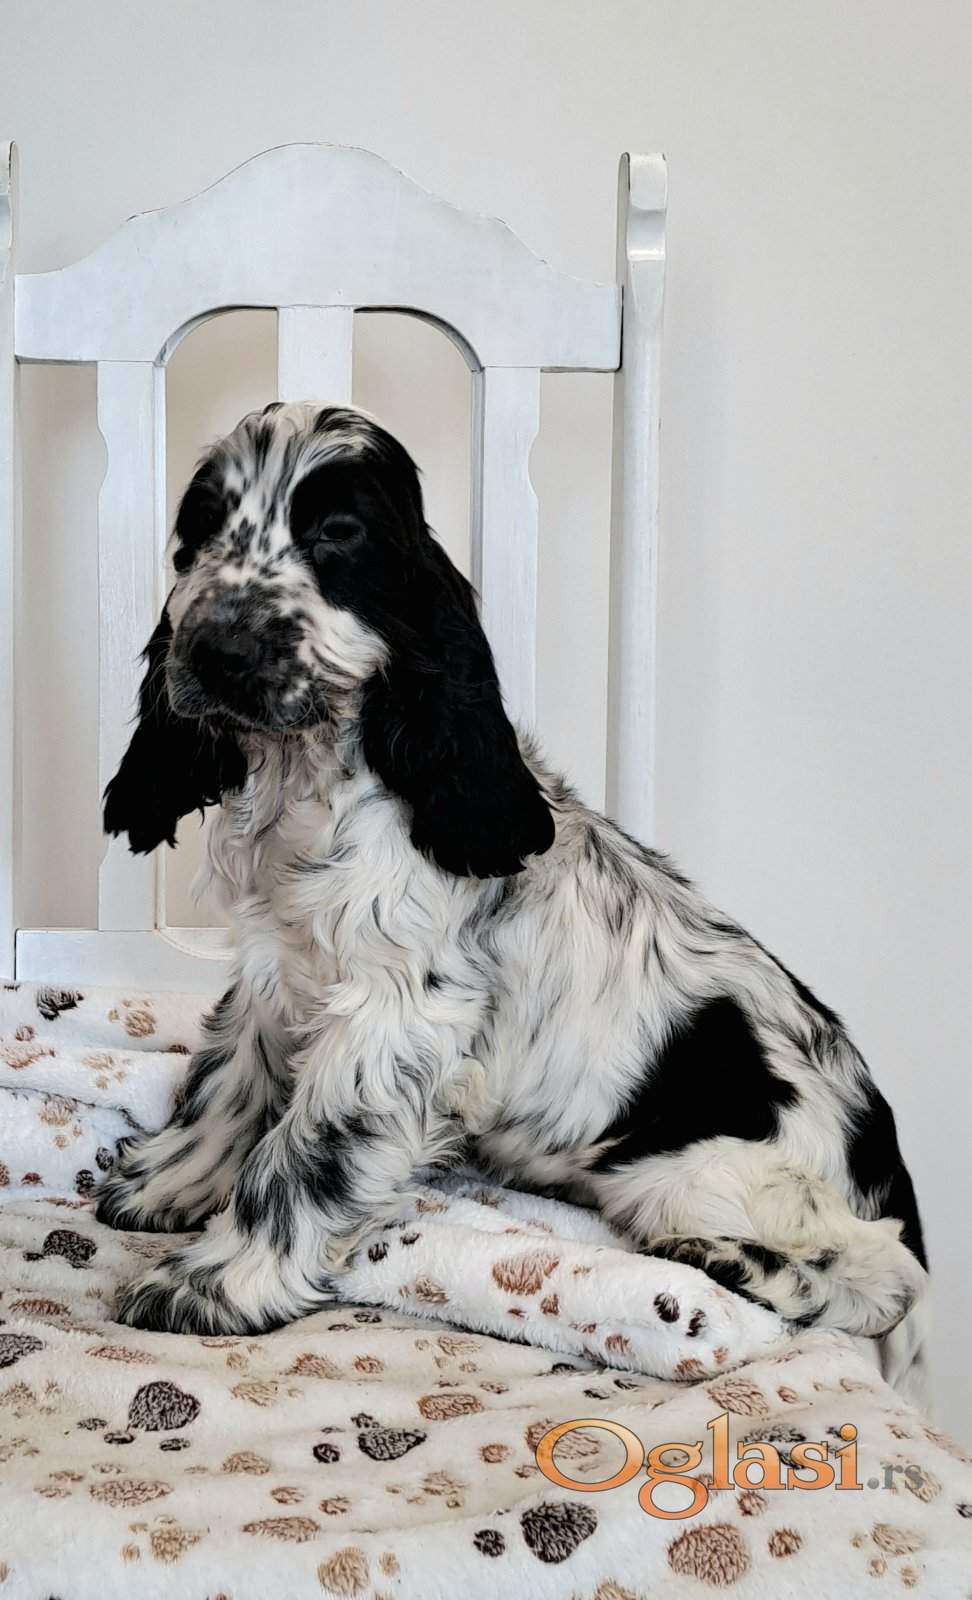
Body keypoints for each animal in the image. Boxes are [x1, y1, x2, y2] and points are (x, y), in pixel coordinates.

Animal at [96, 401, 928, 1401]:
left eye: (338, 534)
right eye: (203, 528)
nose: (216, 649)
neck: (317, 773)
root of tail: (888, 1163)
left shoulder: (394, 1019)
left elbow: (300, 1155)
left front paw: (217, 1283)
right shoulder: (274, 968)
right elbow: (229, 1081)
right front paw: (169, 1183)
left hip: (697, 1173)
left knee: (886, 1275)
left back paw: (736, 1263)